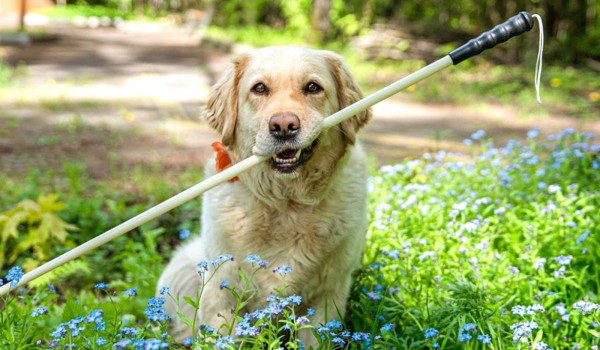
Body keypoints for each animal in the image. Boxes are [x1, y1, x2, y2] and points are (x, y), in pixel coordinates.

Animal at [157, 44, 372, 348]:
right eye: (259, 88)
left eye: (313, 87)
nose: (284, 126)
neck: (286, 202)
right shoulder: (220, 290)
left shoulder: (329, 293)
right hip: (182, 266)